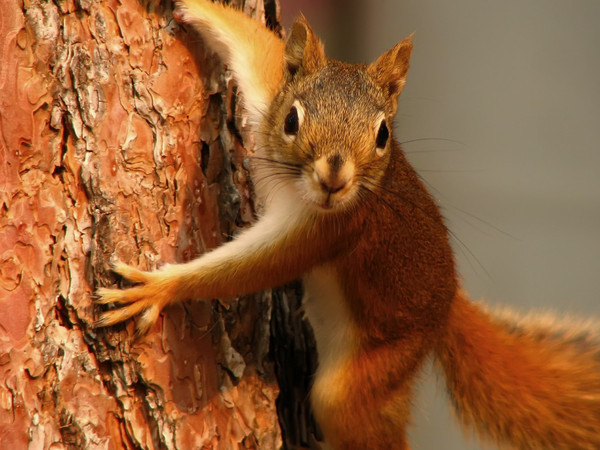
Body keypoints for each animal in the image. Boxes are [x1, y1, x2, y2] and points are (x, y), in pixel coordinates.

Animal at [96, 1, 600, 448]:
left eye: (383, 134)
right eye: (292, 118)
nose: (334, 179)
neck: (296, 187)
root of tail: (447, 307)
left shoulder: (330, 230)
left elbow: (251, 269)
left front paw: (160, 288)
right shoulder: (267, 96)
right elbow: (257, 47)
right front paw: (190, 6)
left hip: (373, 372)